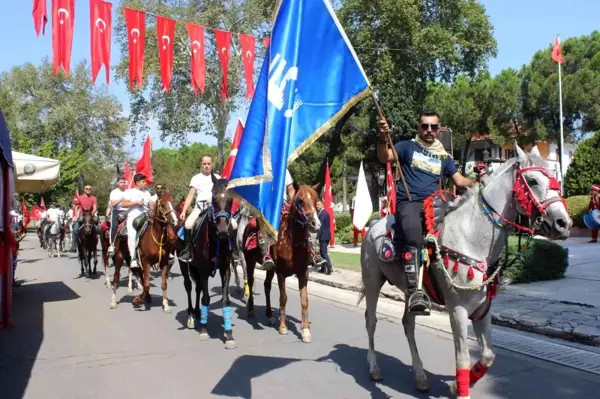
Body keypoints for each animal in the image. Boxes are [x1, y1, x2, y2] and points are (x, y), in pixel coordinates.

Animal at [182, 178, 238, 350]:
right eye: (213, 198)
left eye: (231, 200)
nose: (223, 231)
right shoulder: (204, 270)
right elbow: (206, 298)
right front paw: (204, 330)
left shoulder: (225, 269)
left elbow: (225, 300)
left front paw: (229, 335)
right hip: (186, 266)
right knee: (189, 286)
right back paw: (191, 315)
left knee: (198, 288)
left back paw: (198, 313)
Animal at [264, 184, 322, 344]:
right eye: (300, 200)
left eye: (316, 199)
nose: (316, 224)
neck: (292, 241)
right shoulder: (281, 273)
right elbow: (283, 298)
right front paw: (283, 327)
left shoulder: (303, 273)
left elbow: (304, 300)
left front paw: (306, 331)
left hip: (270, 270)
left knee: (266, 286)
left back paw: (270, 315)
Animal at [358, 145, 568, 399]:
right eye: (533, 180)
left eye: (555, 180)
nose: (563, 223)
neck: (472, 237)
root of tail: (373, 226)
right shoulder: (457, 309)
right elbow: (463, 358)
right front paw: (461, 390)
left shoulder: (482, 308)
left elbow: (487, 356)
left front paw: (455, 385)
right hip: (372, 282)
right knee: (371, 321)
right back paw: (374, 369)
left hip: (410, 291)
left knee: (408, 324)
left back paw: (420, 377)